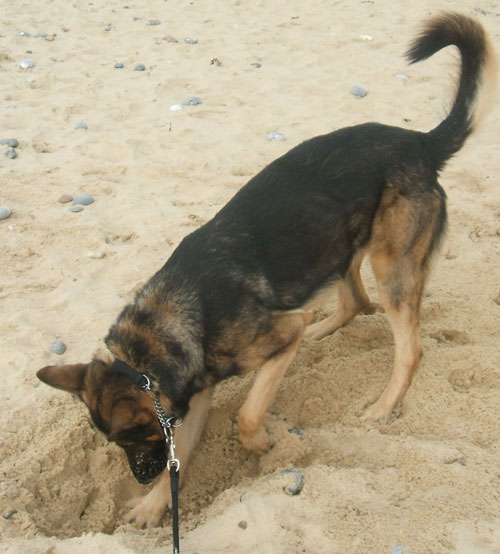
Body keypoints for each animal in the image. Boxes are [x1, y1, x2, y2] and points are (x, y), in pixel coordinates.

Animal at [36, 14, 496, 528]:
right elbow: (186, 452)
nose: (137, 477)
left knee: (408, 348)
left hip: (389, 265)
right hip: (335, 243)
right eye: (122, 443)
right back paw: (322, 331)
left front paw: (262, 446)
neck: (165, 327)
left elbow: (247, 415)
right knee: (355, 302)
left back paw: (382, 405)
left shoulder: (270, 342)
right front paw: (155, 504)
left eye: (134, 438)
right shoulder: (194, 396)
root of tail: (419, 142)